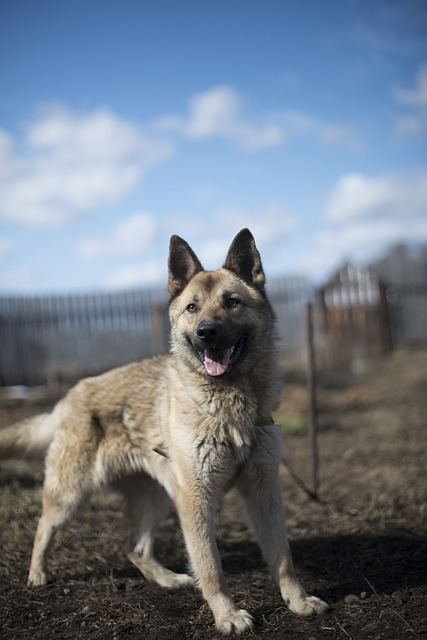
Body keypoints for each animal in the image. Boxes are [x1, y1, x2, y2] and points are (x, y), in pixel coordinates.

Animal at [0, 230, 328, 636]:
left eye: (232, 302)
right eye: (192, 308)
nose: (206, 332)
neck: (228, 405)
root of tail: (67, 398)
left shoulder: (264, 492)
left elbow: (283, 557)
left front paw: (297, 601)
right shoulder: (196, 500)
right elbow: (210, 566)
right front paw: (227, 615)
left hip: (156, 497)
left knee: (136, 549)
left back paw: (168, 580)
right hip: (72, 495)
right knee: (44, 525)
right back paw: (37, 573)